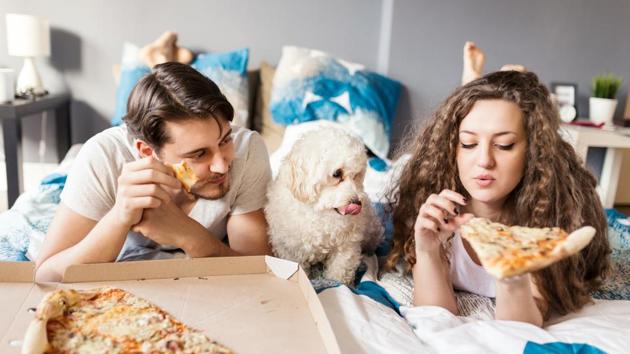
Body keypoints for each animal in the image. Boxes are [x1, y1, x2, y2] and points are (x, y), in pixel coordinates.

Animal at [266, 127, 386, 284]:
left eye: (356, 175)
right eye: (337, 173)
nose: (357, 203)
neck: (321, 214)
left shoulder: (346, 247)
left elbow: (339, 272)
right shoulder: (290, 249)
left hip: (373, 232)